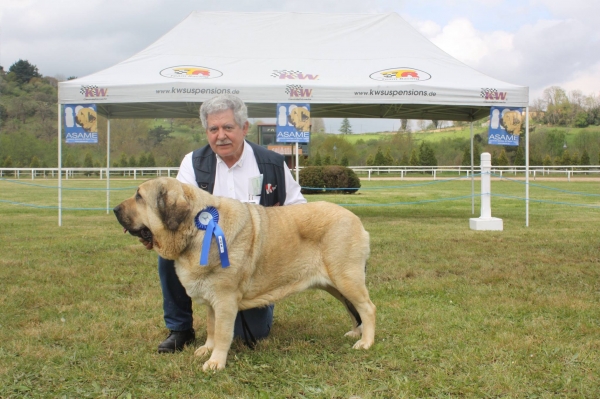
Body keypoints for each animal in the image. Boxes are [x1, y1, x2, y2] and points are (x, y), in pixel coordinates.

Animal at [113, 178, 376, 372]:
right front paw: (206, 349)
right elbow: (211, 328)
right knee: (353, 308)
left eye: (139, 196)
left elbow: (222, 333)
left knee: (367, 307)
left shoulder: (225, 300)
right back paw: (357, 332)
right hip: (337, 285)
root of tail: (356, 220)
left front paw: (215, 362)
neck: (196, 228)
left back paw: (365, 342)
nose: (115, 209)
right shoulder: (212, 301)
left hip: (346, 277)